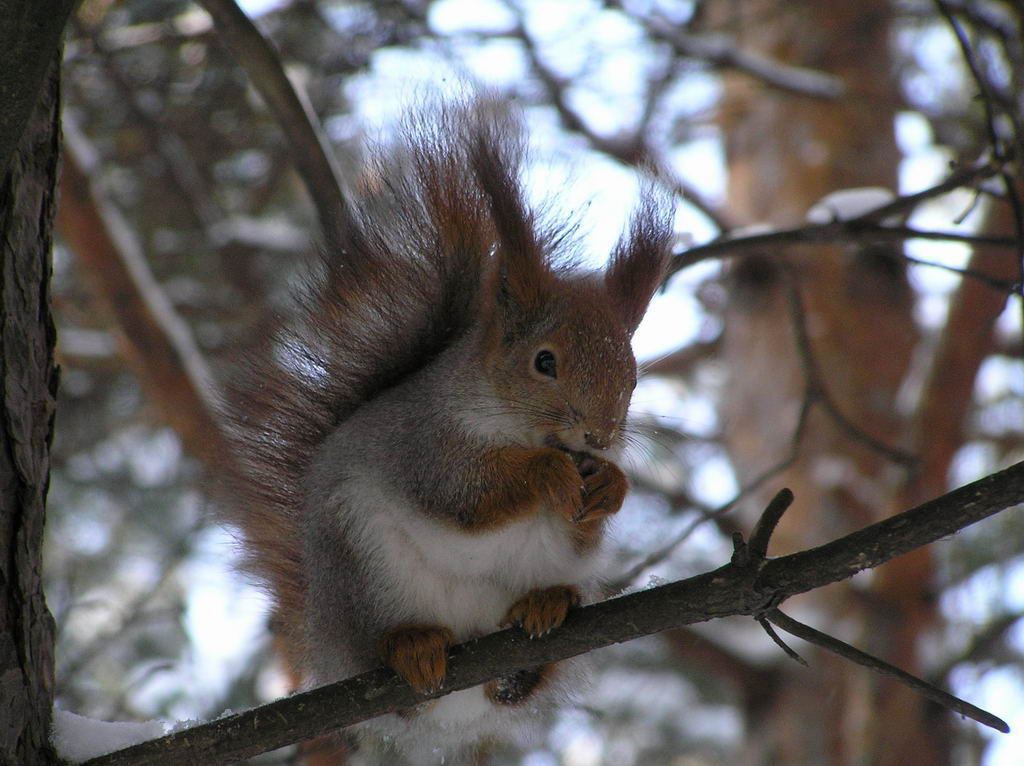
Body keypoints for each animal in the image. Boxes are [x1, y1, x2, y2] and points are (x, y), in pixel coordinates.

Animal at [218, 97, 672, 762]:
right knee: (396, 674)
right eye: (544, 362)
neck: (519, 432)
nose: (600, 434)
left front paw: (611, 484)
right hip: (364, 567)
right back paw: (411, 648)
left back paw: (538, 624)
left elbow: (580, 530)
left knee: (516, 677)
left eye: (634, 376)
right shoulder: (422, 446)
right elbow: (463, 497)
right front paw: (548, 474)